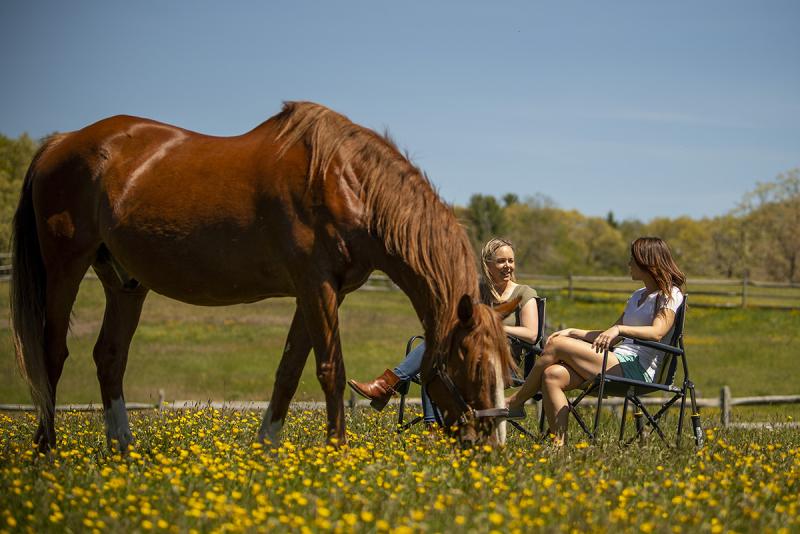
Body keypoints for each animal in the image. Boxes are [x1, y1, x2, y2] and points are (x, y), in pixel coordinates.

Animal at [9, 101, 516, 452]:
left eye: (508, 366)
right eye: (473, 362)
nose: (491, 442)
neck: (347, 181)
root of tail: (60, 141)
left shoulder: (323, 293)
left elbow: (288, 371)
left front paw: (266, 449)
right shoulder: (316, 286)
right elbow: (331, 370)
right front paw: (338, 453)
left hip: (125, 283)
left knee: (110, 357)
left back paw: (123, 450)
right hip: (65, 268)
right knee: (52, 354)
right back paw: (47, 451)